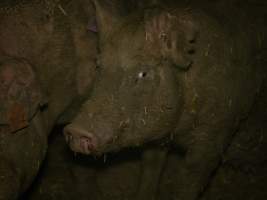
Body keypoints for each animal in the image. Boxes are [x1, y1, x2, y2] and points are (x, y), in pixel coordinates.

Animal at [64, 0, 264, 200]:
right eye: (98, 65)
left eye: (144, 73)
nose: (76, 130)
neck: (178, 130)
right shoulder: (157, 133)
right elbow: (151, 165)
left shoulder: (218, 129)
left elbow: (191, 176)